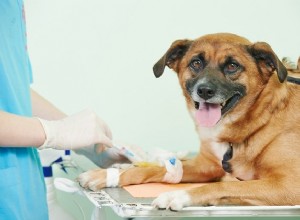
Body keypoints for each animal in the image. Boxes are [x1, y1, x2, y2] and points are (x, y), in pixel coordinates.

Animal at [78, 32, 300, 210]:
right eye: (196, 63)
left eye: (232, 66)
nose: (205, 91)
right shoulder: (206, 166)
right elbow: (158, 168)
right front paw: (106, 175)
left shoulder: (289, 185)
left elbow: (224, 185)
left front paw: (178, 195)